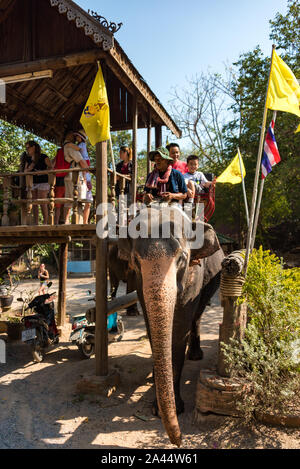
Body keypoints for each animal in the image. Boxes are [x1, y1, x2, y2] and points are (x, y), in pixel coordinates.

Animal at [116, 206, 223, 446]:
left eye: (182, 258)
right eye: (135, 260)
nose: (179, 441)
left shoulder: (194, 276)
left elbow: (180, 329)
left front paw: (175, 407)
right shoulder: (140, 283)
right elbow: (150, 325)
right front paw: (158, 402)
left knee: (197, 315)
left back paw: (195, 354)